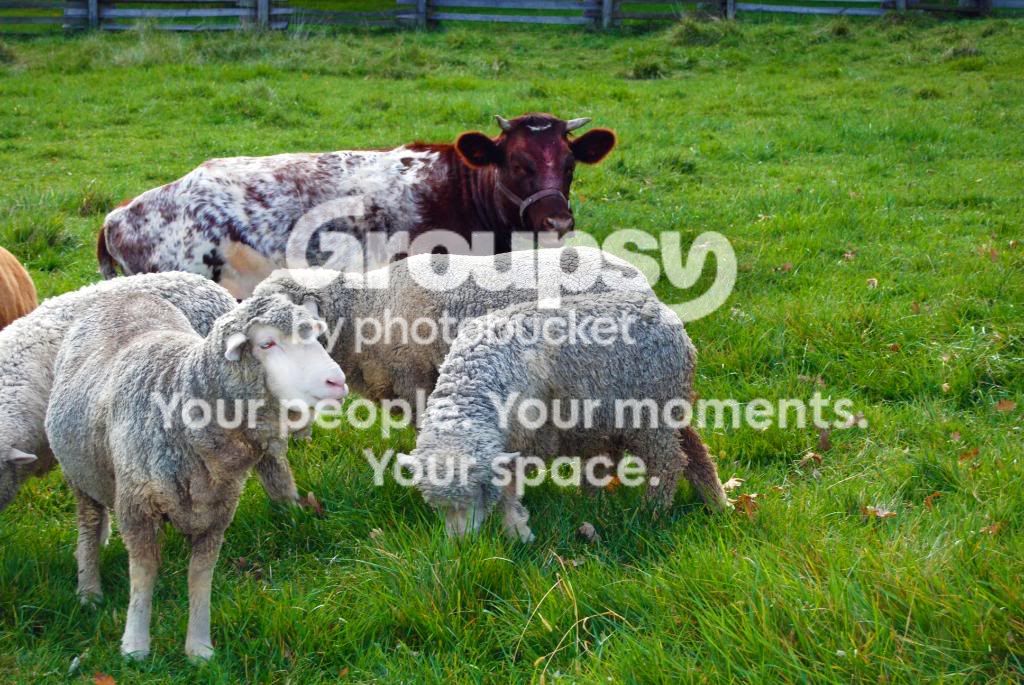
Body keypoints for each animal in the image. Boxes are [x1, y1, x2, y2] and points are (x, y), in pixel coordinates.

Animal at [44, 292, 347, 660]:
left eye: (315, 337)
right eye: (267, 343)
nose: (337, 381)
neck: (180, 394)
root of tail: (122, 294)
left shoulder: (216, 512)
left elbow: (200, 577)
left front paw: (199, 648)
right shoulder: (136, 506)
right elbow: (143, 574)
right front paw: (135, 645)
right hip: (80, 474)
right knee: (89, 524)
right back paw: (89, 590)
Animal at [403, 291, 730, 542]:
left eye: (474, 495)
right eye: (437, 507)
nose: (460, 545)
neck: (475, 377)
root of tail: (670, 317)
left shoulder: (525, 439)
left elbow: (508, 491)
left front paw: (517, 531)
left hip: (650, 413)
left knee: (668, 462)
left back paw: (653, 510)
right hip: (667, 405)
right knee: (696, 452)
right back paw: (716, 502)